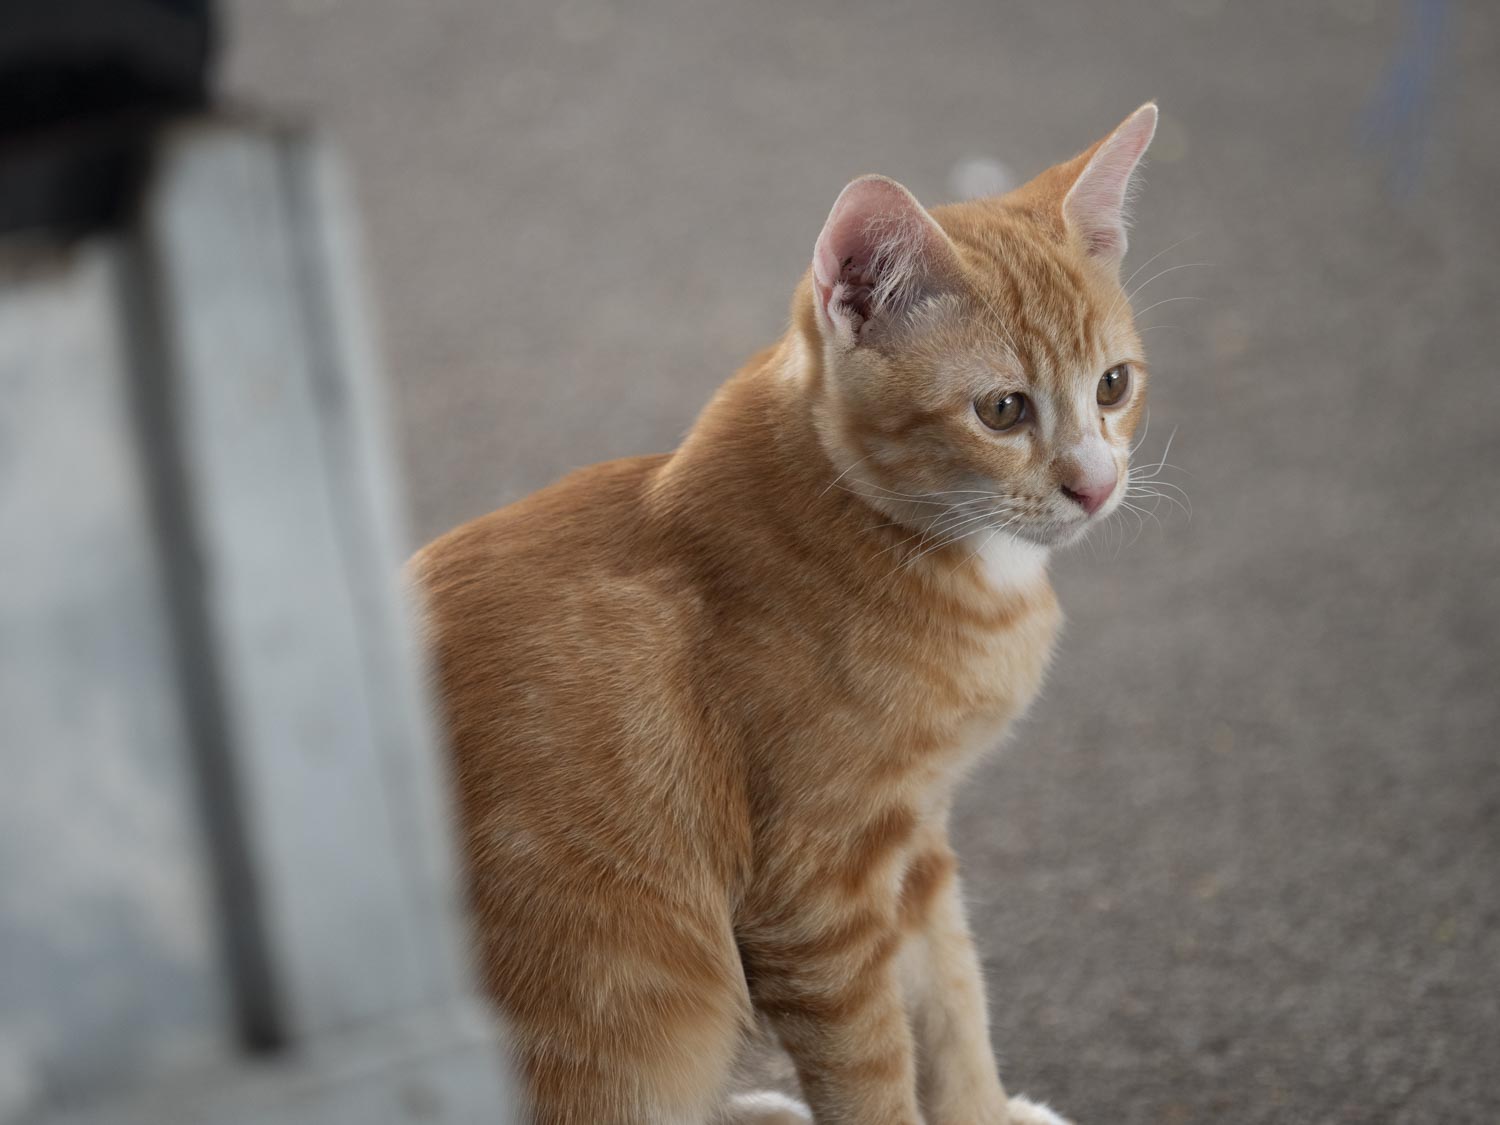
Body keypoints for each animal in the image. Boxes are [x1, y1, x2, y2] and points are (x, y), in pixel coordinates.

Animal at [411, 103, 1159, 1125]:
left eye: (1114, 386)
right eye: (1004, 409)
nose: (1096, 485)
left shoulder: (916, 839)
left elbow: (954, 994)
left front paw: (982, 1107)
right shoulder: (817, 900)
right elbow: (874, 1070)